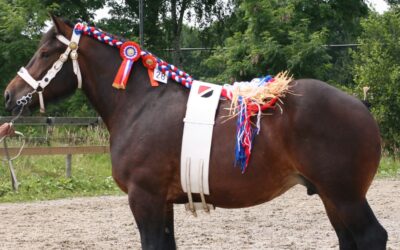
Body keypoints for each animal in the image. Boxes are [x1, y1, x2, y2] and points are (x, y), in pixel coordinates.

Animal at [3, 16, 388, 249]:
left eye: (46, 52)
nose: (9, 94)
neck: (141, 104)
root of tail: (359, 104)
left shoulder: (144, 198)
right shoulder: (162, 202)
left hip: (345, 197)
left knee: (373, 237)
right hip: (330, 197)